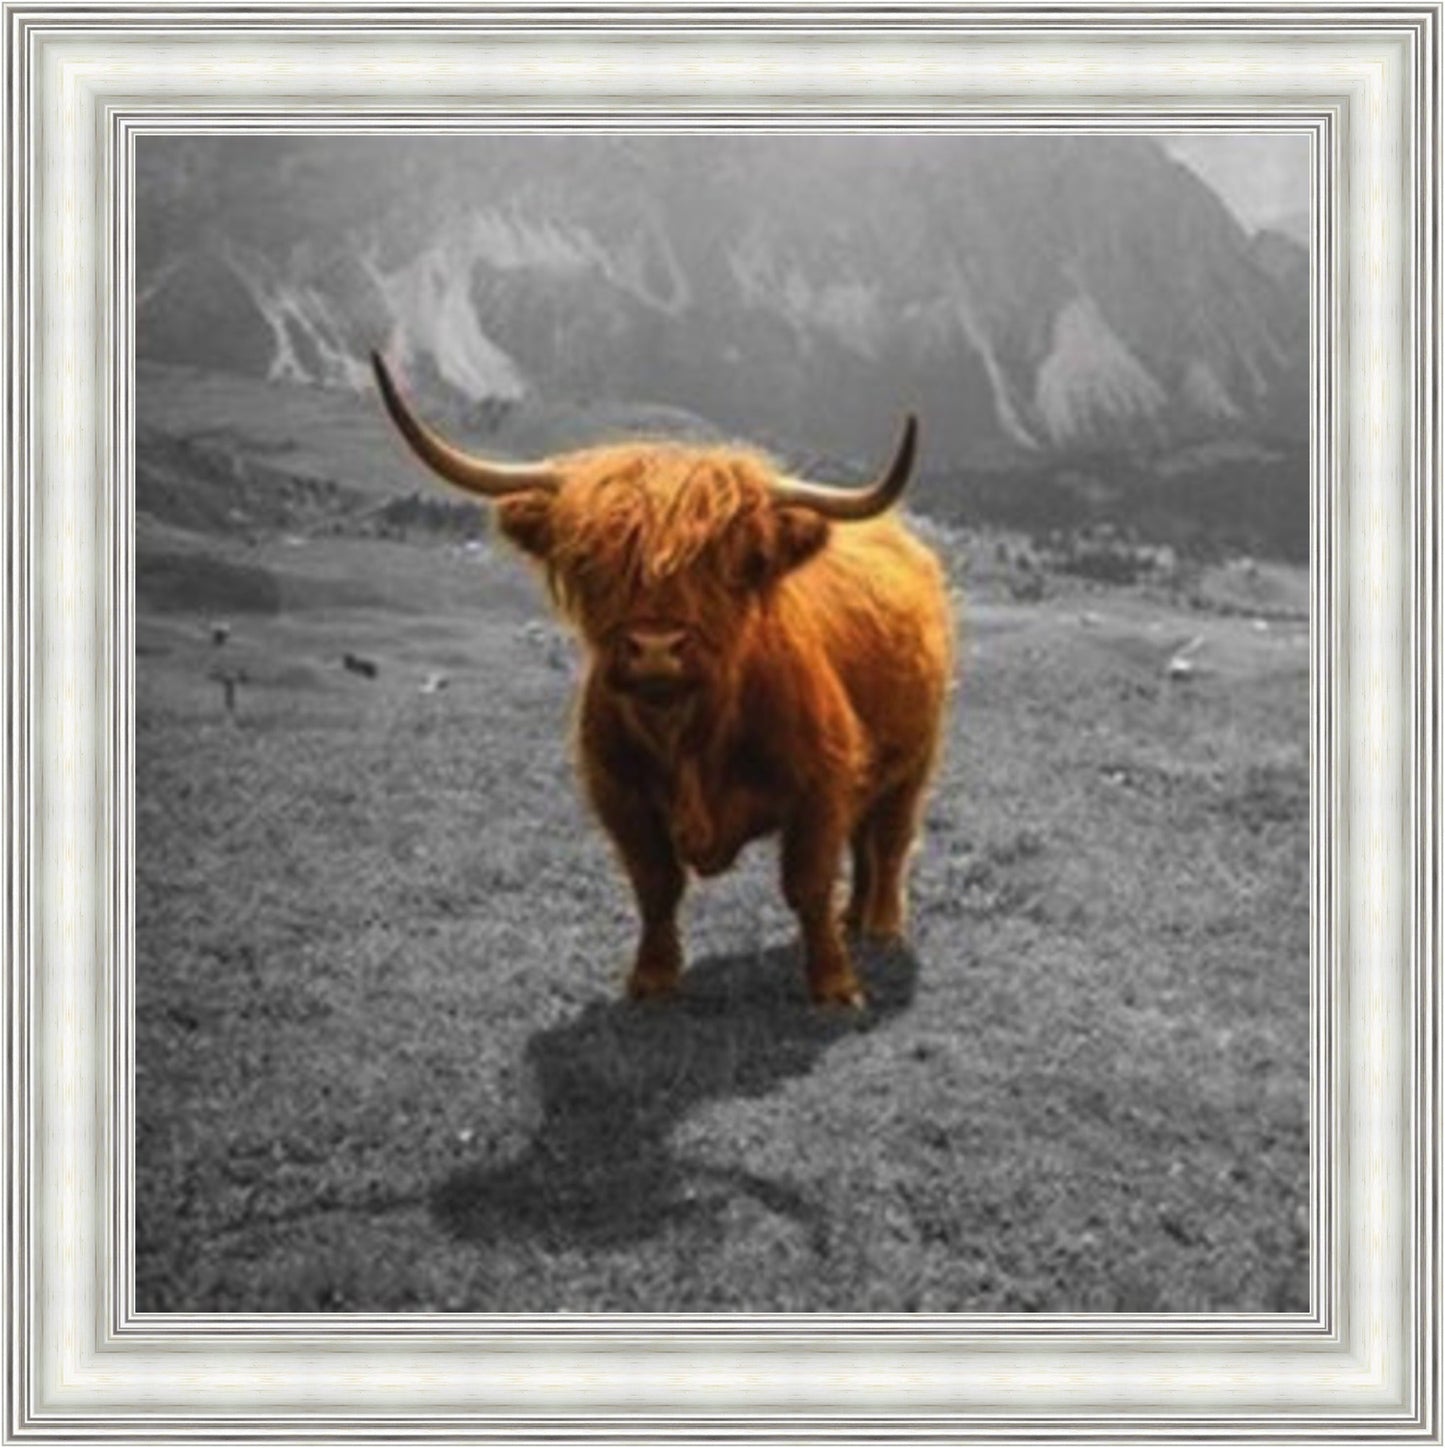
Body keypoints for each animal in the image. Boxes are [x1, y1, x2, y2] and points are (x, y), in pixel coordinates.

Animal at [372, 352, 954, 1008]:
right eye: (591, 561)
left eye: (732, 563)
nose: (655, 649)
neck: (687, 734)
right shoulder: (619, 794)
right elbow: (654, 885)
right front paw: (651, 976)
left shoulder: (820, 786)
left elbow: (807, 884)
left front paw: (834, 984)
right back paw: (855, 917)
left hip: (915, 759)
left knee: (890, 837)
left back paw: (879, 924)